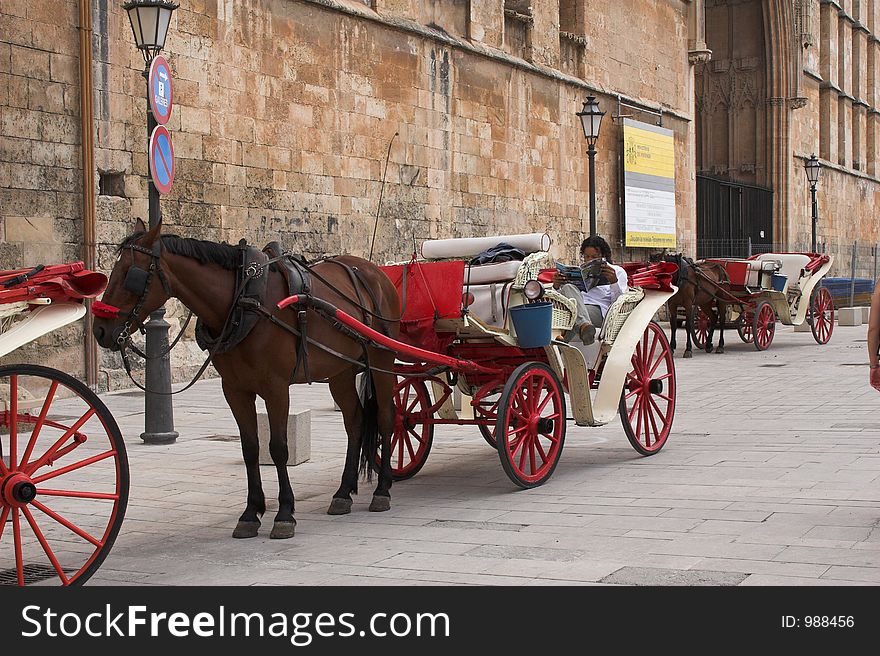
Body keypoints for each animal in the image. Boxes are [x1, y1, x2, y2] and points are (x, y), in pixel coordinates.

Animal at [91, 219, 400, 540]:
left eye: (131, 275)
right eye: (112, 271)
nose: (100, 330)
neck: (243, 301)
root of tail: (374, 271)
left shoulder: (277, 388)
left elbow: (278, 448)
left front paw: (284, 513)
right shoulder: (235, 389)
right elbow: (250, 448)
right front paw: (251, 513)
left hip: (381, 361)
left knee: (387, 417)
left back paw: (382, 490)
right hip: (341, 370)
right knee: (354, 422)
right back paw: (343, 493)